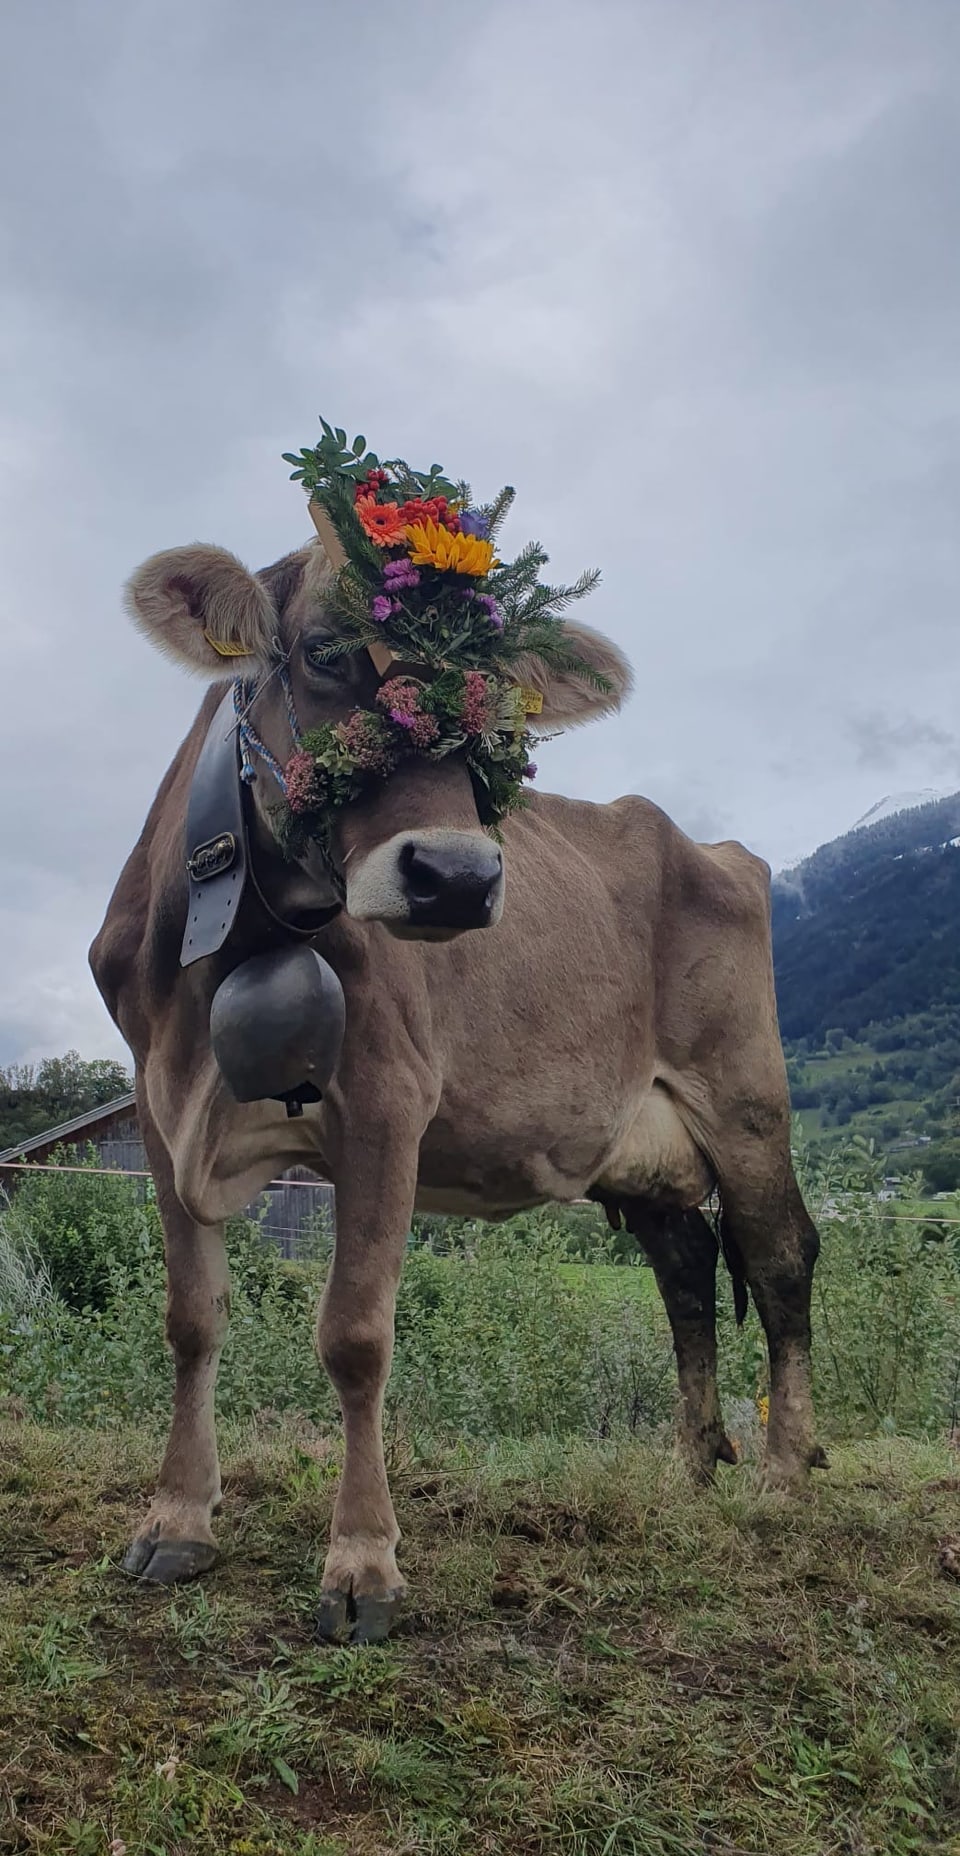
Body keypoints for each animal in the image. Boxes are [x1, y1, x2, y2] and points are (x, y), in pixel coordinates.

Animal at [91, 534, 824, 1640]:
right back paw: (693, 1464)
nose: (458, 877)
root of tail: (713, 846)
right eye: (323, 649)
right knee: (687, 1271)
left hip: (745, 1099)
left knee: (780, 1259)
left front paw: (361, 1566)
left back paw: (782, 1472)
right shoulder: (158, 1102)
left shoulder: (388, 1098)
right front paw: (176, 1519)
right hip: (641, 1144)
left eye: (497, 695)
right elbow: (190, 1318)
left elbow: (356, 1333)